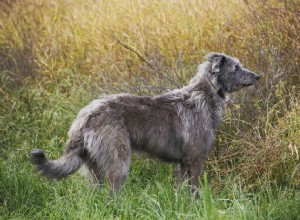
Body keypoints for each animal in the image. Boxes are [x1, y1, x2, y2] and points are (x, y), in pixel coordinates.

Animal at [31, 52, 260, 193]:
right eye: (236, 67)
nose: (257, 77)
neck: (203, 94)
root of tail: (85, 116)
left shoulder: (182, 163)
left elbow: (181, 192)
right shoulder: (195, 160)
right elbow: (194, 191)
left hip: (93, 168)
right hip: (118, 162)